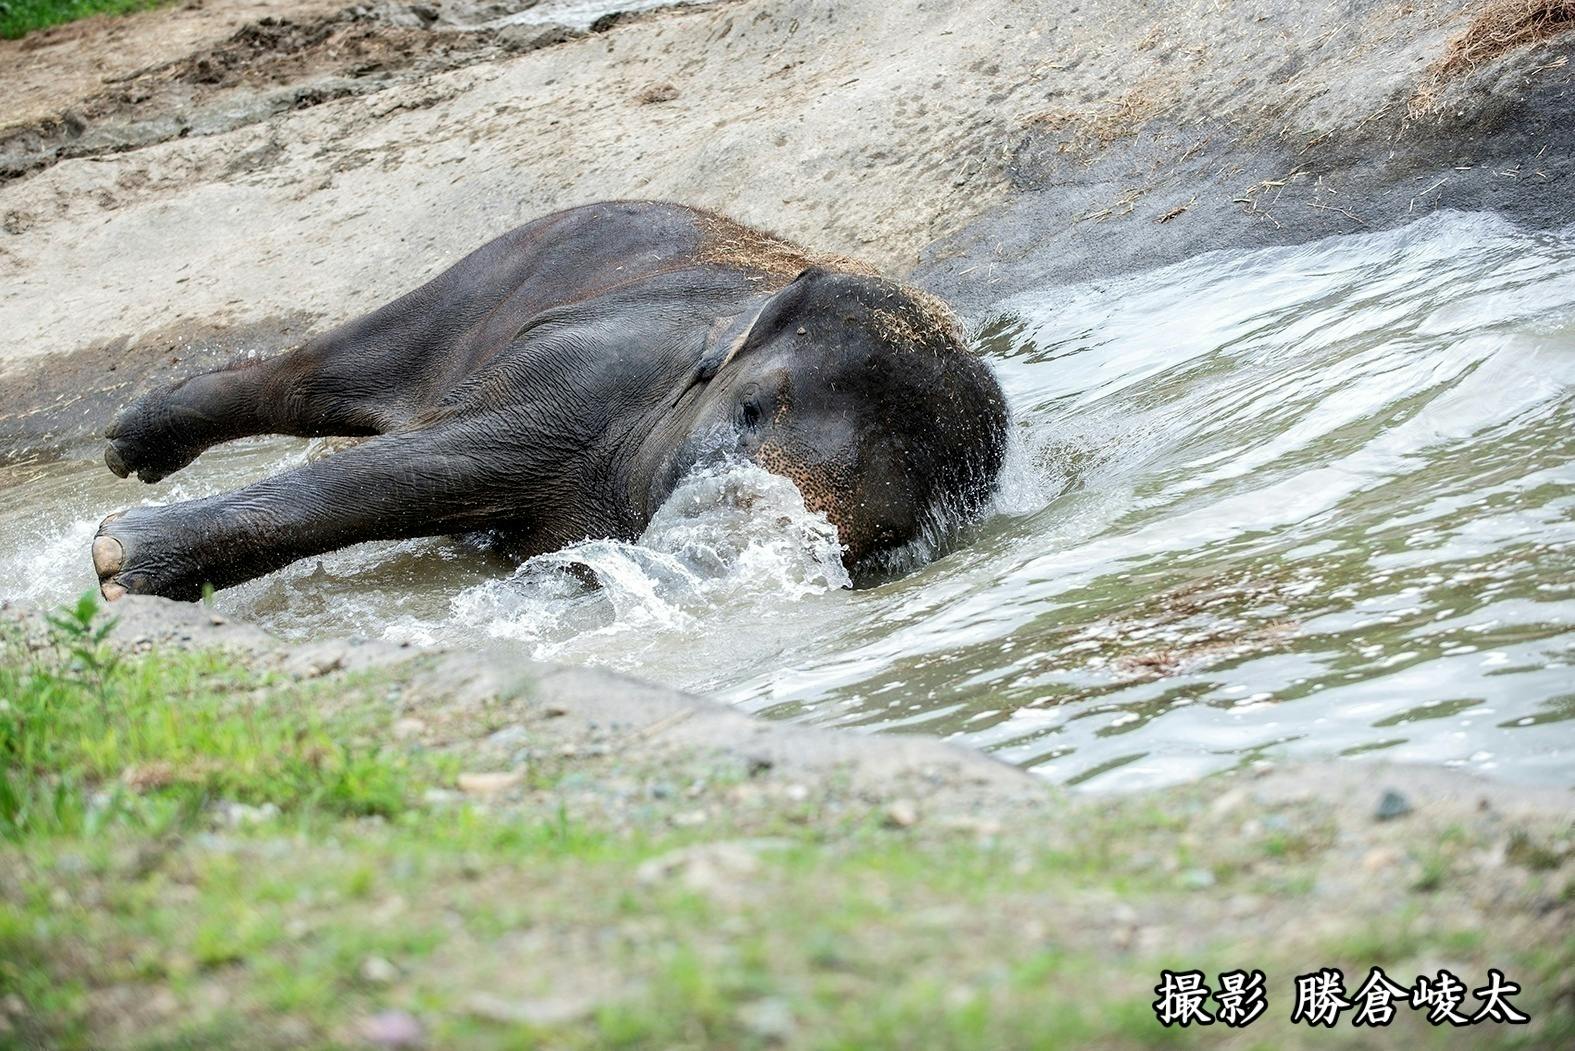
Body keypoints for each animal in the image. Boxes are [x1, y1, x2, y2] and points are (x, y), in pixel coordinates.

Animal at [89, 203, 1008, 605]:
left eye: (870, 537)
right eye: (749, 411)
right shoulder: (587, 370)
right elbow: (434, 459)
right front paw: (115, 565)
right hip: (492, 270)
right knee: (322, 375)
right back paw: (128, 446)